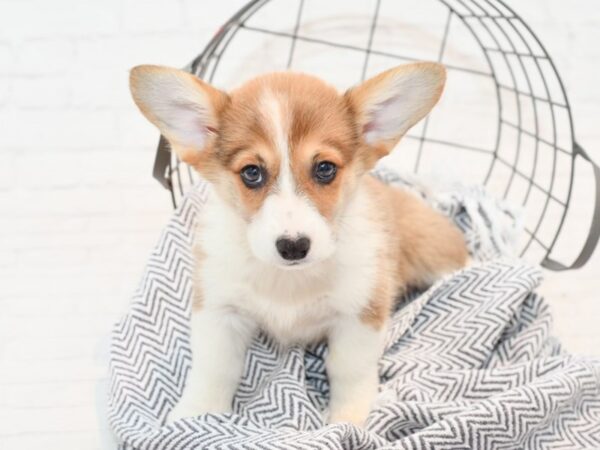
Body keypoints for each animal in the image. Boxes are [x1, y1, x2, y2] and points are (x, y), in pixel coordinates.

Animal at [130, 62, 468, 426]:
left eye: (325, 168)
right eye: (252, 173)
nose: (293, 246)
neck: (288, 280)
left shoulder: (360, 315)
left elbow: (349, 371)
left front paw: (349, 420)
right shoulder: (220, 310)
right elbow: (214, 367)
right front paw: (195, 414)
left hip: (431, 247)